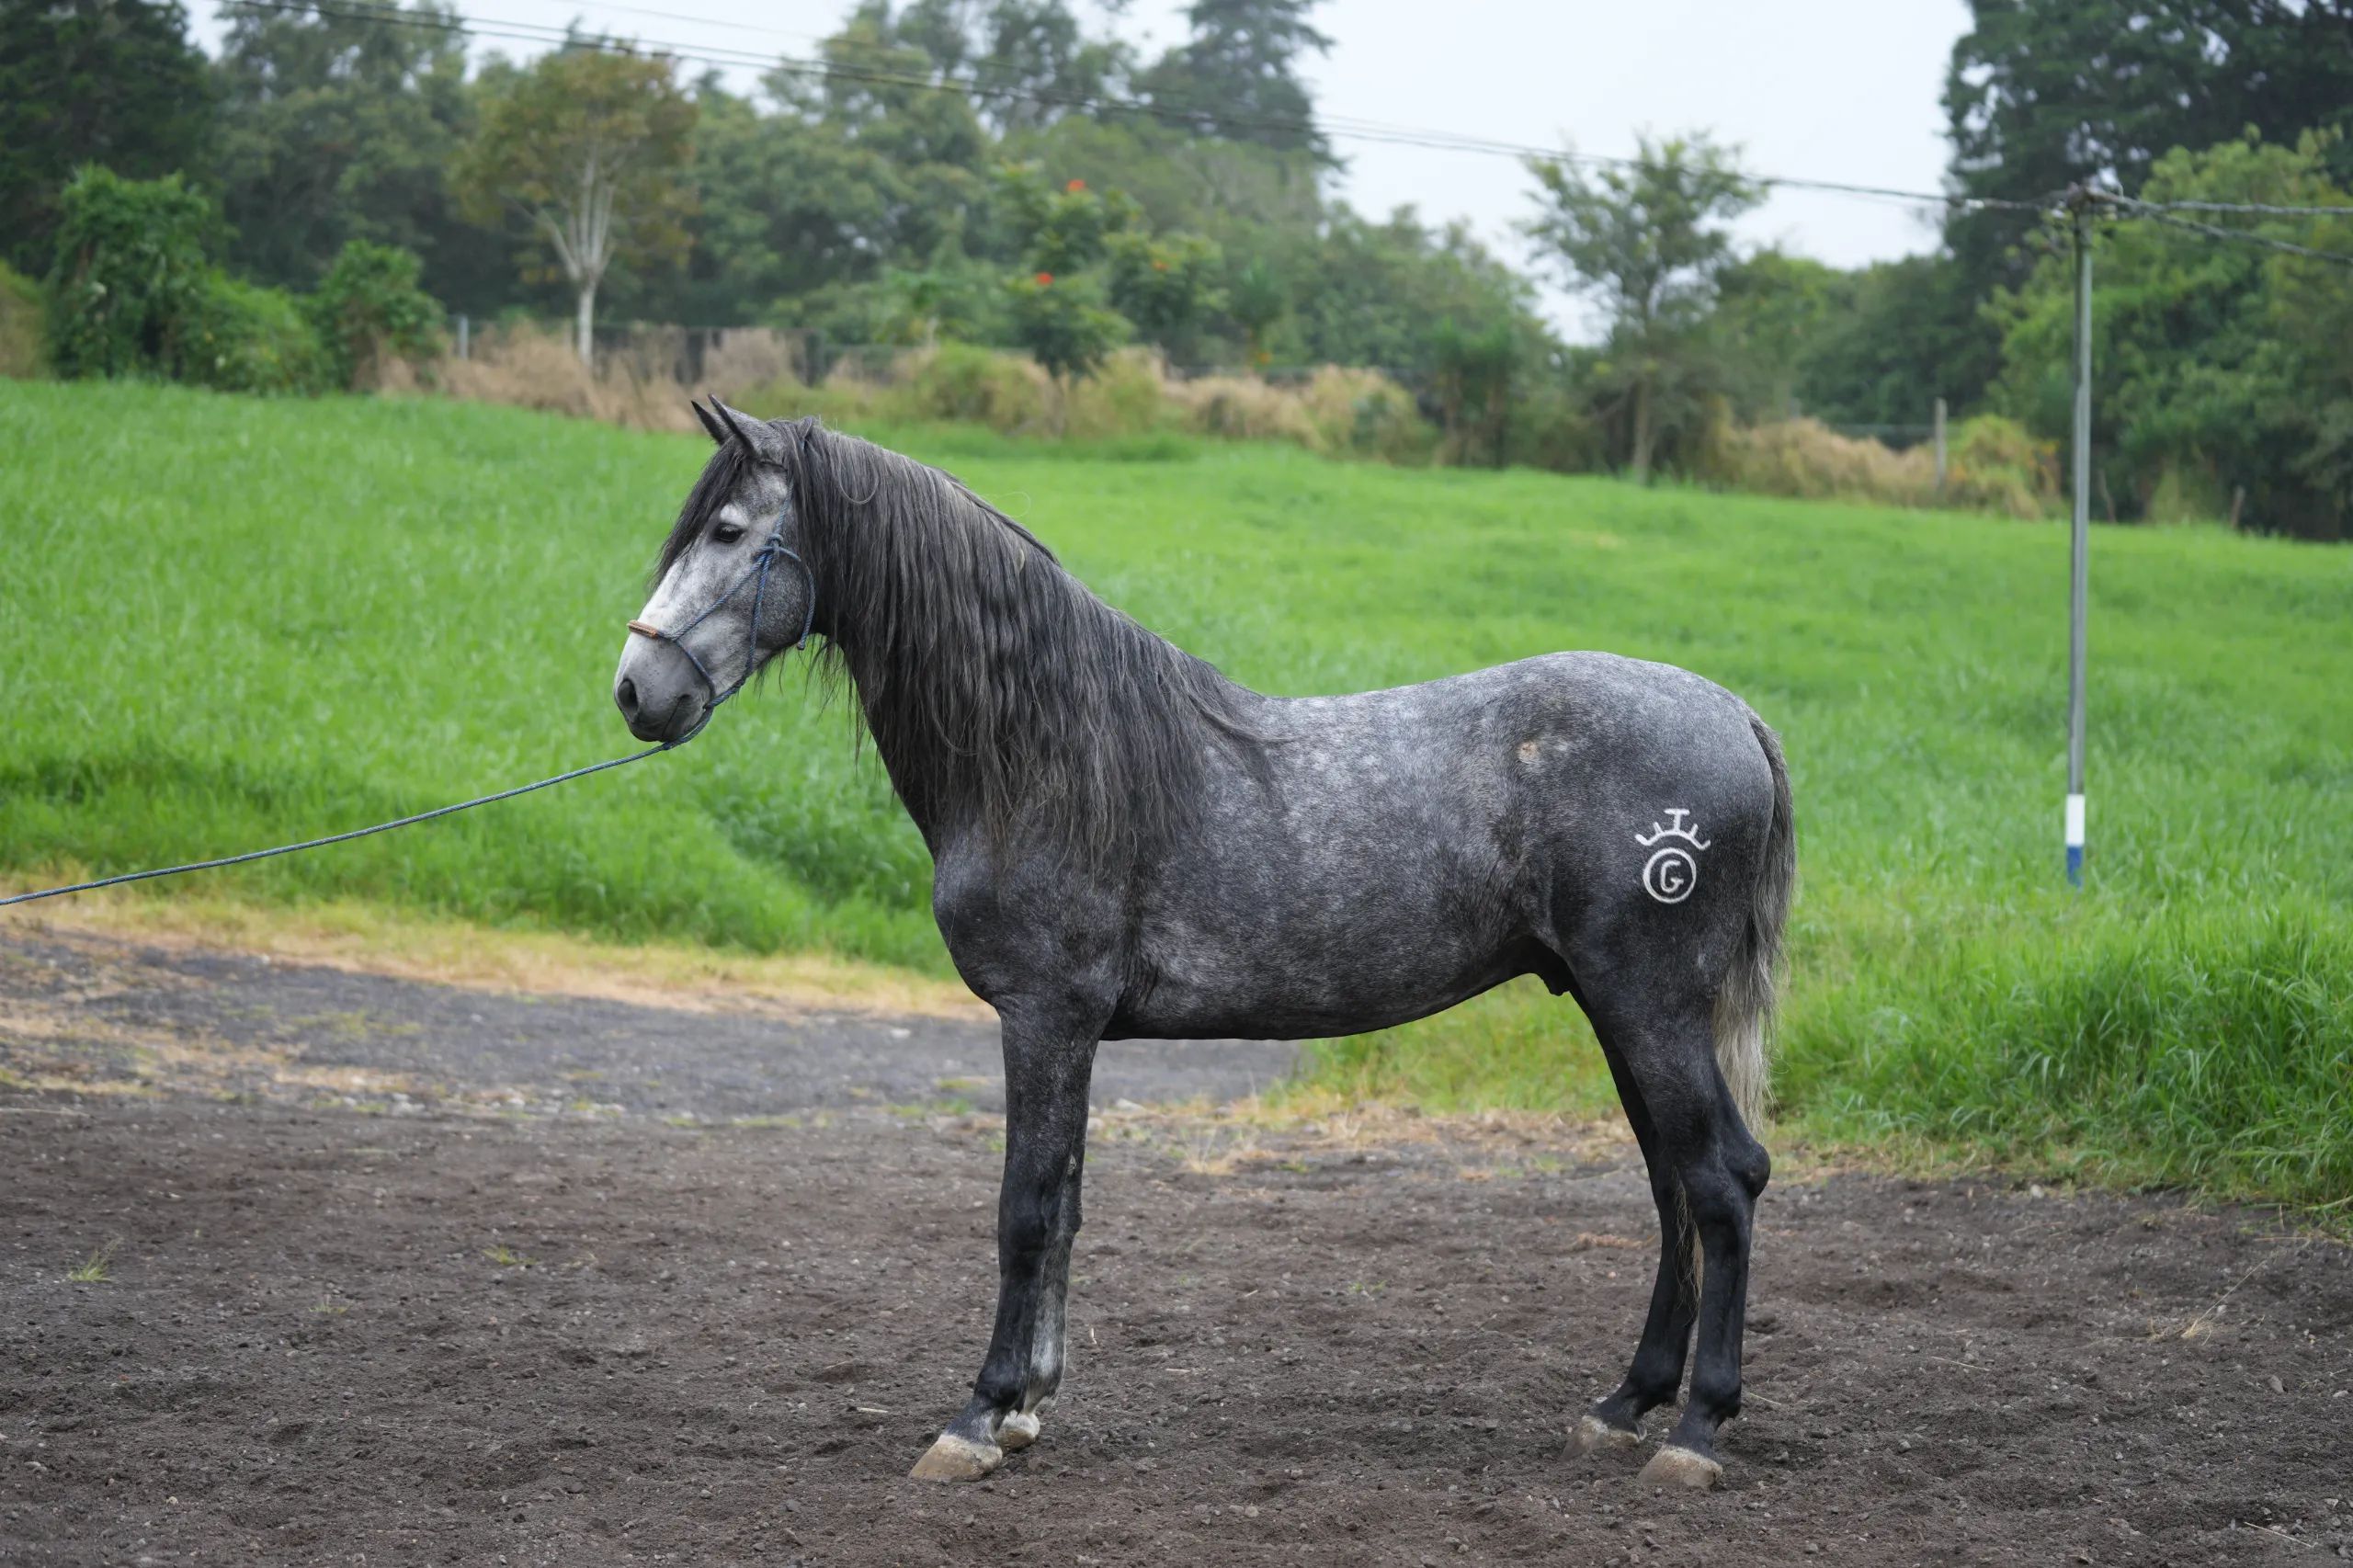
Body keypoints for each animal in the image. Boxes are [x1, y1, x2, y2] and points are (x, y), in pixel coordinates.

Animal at [612, 401, 1796, 1492]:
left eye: (726, 529)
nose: (635, 691)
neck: (1047, 757)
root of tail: (1735, 716)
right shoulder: (1073, 1031)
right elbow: (1067, 1203)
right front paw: (1030, 1404)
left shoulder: (1044, 1017)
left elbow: (1025, 1208)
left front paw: (979, 1415)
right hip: (1616, 1008)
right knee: (1673, 1186)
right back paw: (1624, 1403)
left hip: (1647, 1005)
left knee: (1721, 1179)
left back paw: (1695, 1431)